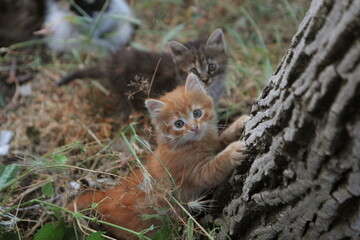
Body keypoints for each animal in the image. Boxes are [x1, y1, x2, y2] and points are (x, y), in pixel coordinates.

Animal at [67, 74, 249, 239]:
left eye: (197, 113)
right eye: (179, 124)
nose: (194, 128)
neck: (191, 143)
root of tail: (106, 196)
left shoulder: (213, 145)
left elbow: (221, 139)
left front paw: (238, 125)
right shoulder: (196, 172)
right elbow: (216, 165)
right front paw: (233, 152)